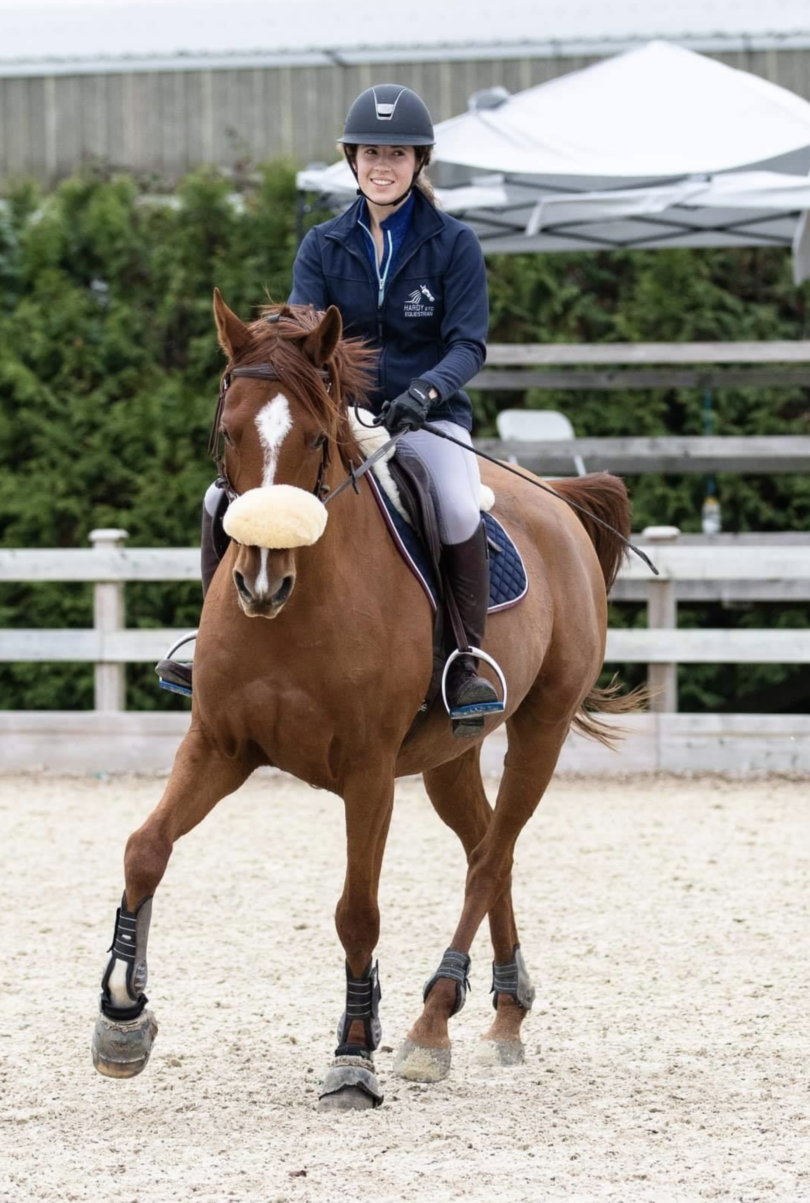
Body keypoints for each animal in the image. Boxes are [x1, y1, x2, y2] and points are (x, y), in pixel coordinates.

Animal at [91, 293, 641, 1110]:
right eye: (228, 433)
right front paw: (122, 1015)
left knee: (491, 855)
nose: (260, 582)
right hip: (450, 757)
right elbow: (145, 849)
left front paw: (355, 1054)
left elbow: (357, 912)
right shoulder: (219, 746)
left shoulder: (368, 772)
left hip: (540, 730)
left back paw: (432, 1024)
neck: (296, 613)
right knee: (490, 847)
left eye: (316, 438)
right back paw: (507, 1012)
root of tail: (560, 505)